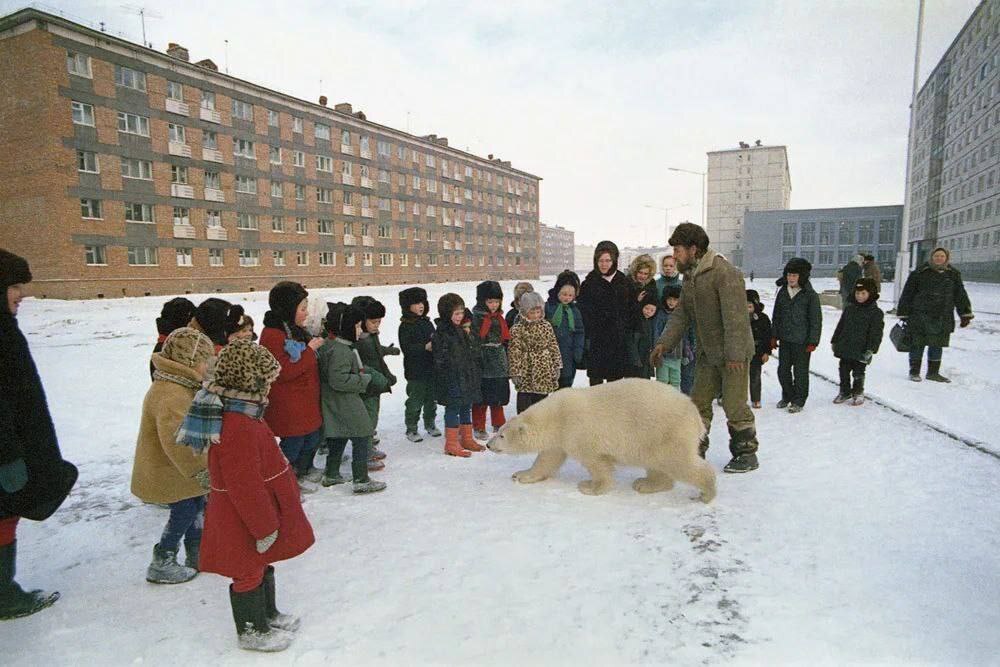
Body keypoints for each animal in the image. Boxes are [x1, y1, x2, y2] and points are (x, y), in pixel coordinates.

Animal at [486, 378, 716, 504]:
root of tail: (696, 416)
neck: (557, 415)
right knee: (657, 463)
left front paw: (590, 487)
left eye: (502, 435)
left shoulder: (578, 431)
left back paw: (707, 492)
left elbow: (596, 462)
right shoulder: (560, 437)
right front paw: (520, 474)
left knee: (678, 461)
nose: (488, 444)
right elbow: (547, 458)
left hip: (666, 431)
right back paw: (645, 483)